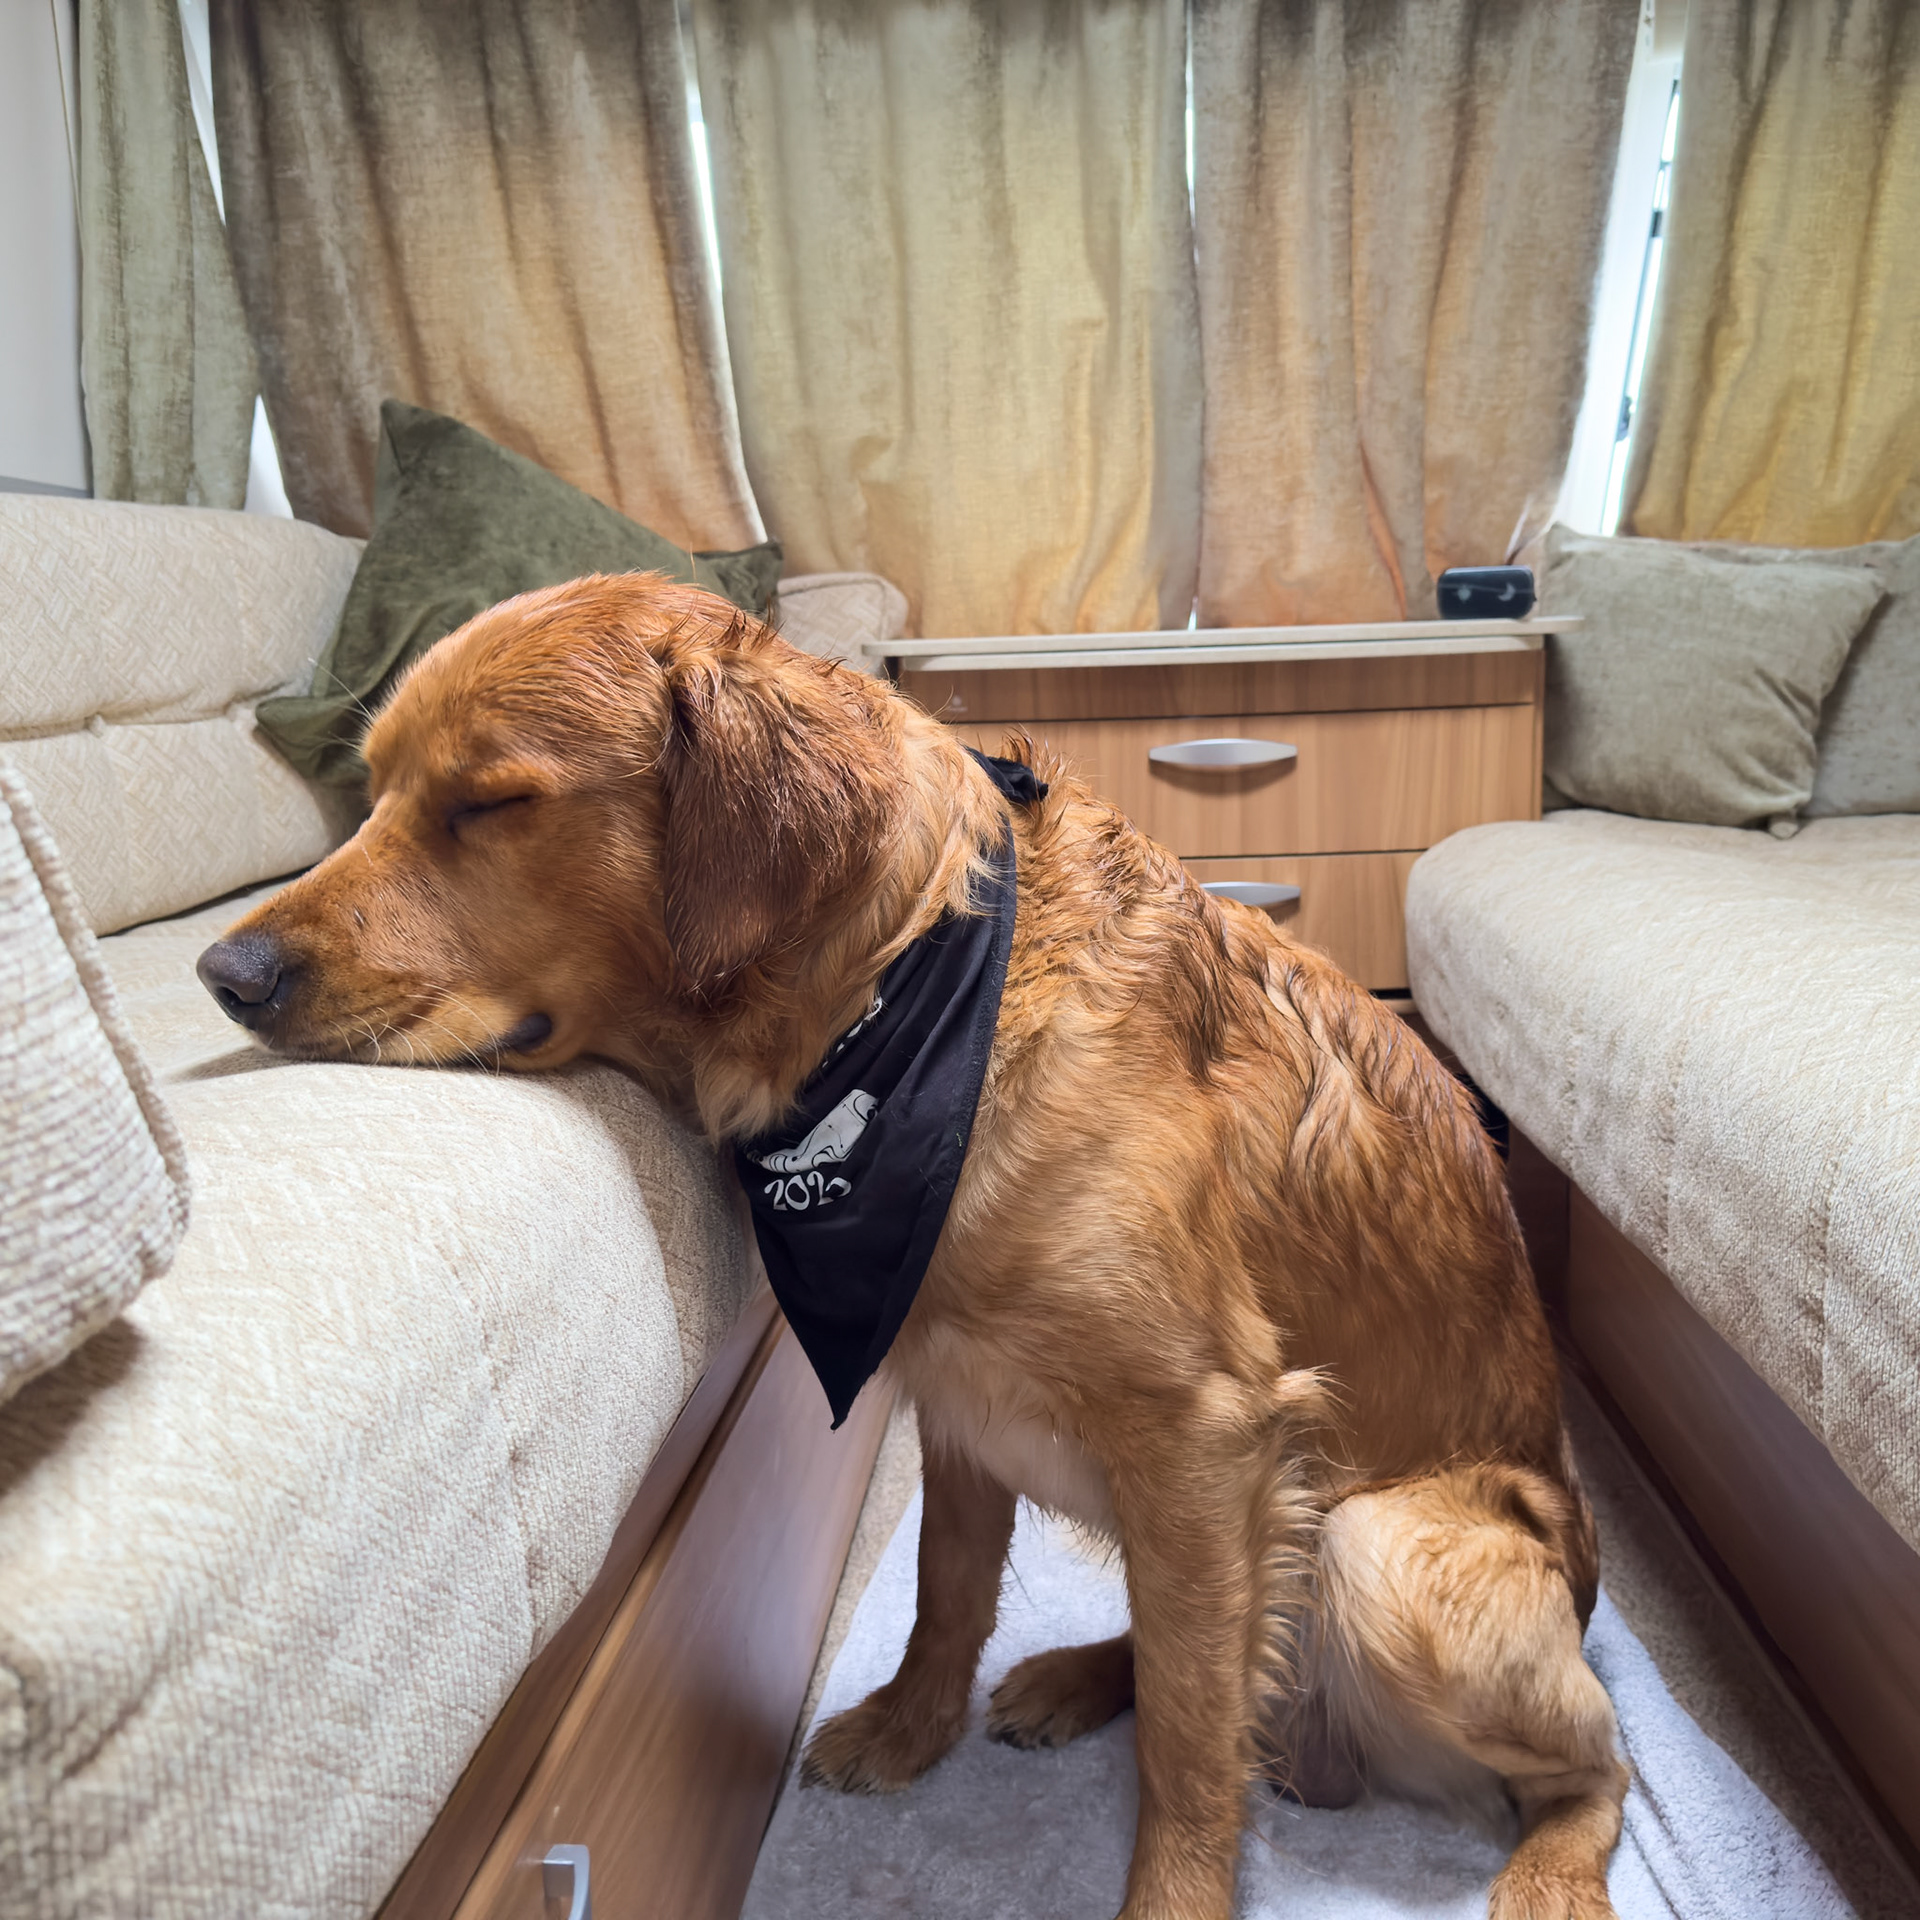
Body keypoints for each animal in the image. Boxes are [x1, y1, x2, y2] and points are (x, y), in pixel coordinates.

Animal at [197, 573, 1626, 1920]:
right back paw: (1077, 1676)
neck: (895, 993)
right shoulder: (960, 1393)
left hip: (1382, 1552)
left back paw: (1553, 1869)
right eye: (371, 792)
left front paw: (1170, 1889)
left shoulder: (1204, 1430)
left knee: (1585, 1762)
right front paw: (912, 1726)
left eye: (490, 804)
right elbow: (952, 1586)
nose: (225, 973)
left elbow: (1188, 1736)